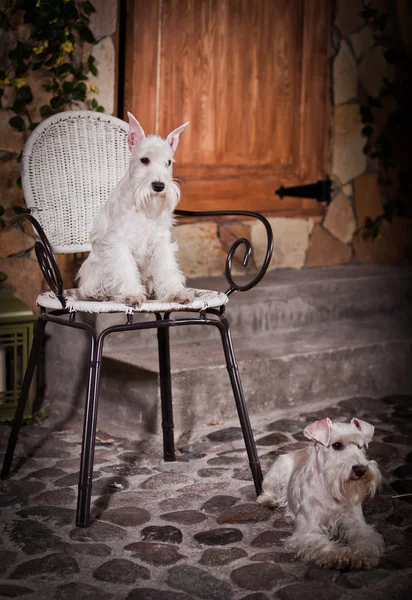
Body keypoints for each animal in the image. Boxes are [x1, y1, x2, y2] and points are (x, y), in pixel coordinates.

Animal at [75, 112, 193, 308]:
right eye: (144, 160)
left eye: (168, 162)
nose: (159, 186)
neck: (143, 210)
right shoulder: (119, 243)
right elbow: (125, 270)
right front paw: (132, 295)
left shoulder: (160, 242)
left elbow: (167, 268)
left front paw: (176, 293)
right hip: (95, 270)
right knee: (89, 288)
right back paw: (100, 294)